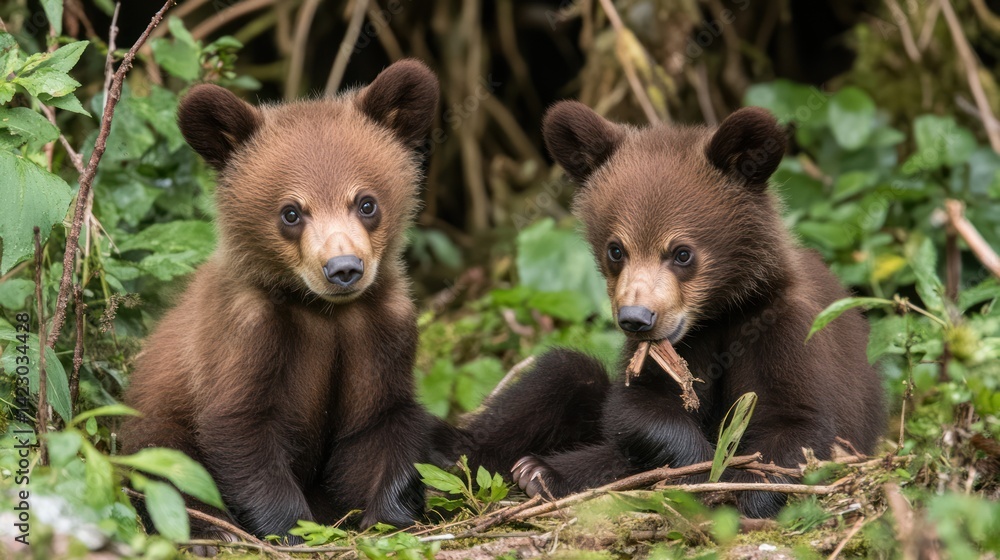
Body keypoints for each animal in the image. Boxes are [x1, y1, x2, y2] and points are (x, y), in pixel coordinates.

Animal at [120, 60, 444, 541]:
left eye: (366, 203)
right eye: (291, 212)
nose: (343, 268)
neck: (321, 311)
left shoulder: (384, 326)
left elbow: (378, 425)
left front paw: (391, 514)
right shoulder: (245, 330)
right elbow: (240, 428)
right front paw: (290, 528)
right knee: (165, 461)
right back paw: (210, 533)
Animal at [451, 102, 885, 518]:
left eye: (682, 253)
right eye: (615, 249)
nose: (637, 319)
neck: (719, 315)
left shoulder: (787, 331)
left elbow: (797, 427)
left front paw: (741, 489)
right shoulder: (668, 353)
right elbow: (639, 408)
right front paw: (704, 469)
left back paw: (538, 472)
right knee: (560, 374)